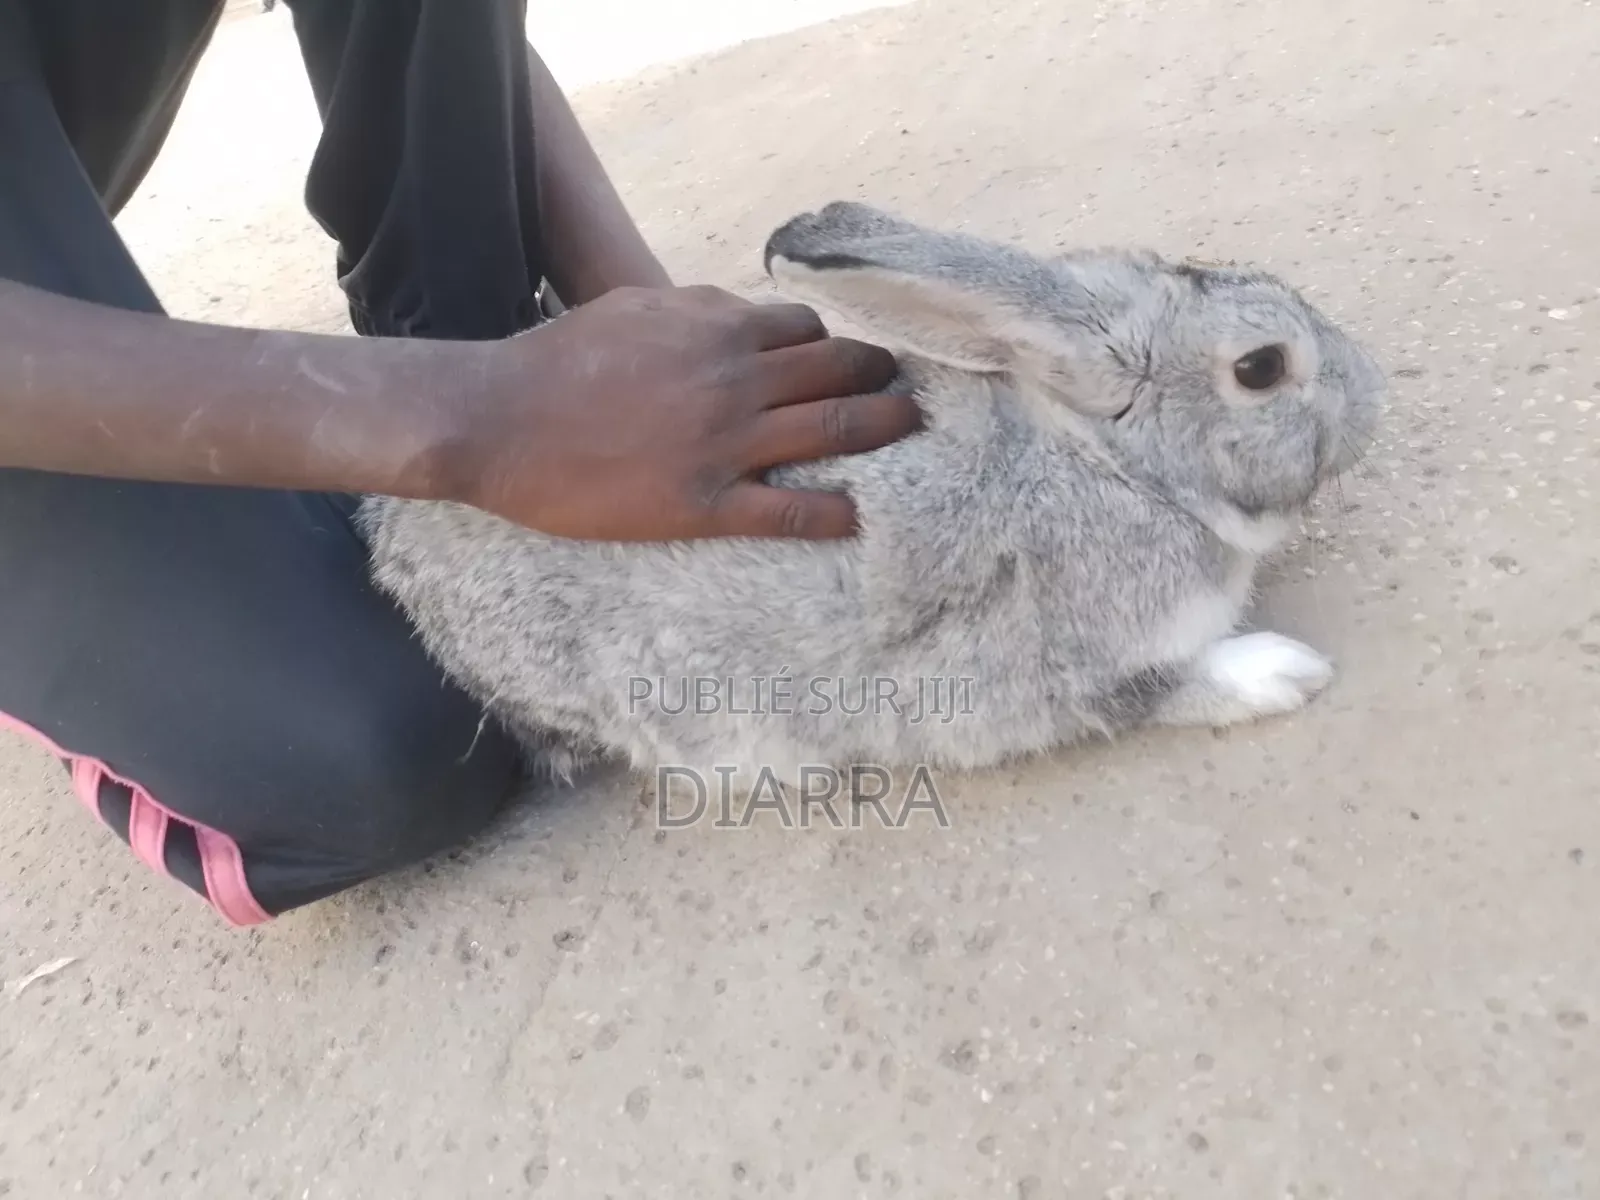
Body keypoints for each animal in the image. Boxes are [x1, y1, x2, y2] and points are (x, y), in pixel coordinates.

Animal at [357, 201, 1385, 793]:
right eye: (1261, 369)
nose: (1373, 390)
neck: (1109, 464)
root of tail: (393, 551)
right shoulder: (1047, 674)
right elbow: (1163, 688)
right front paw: (1283, 670)